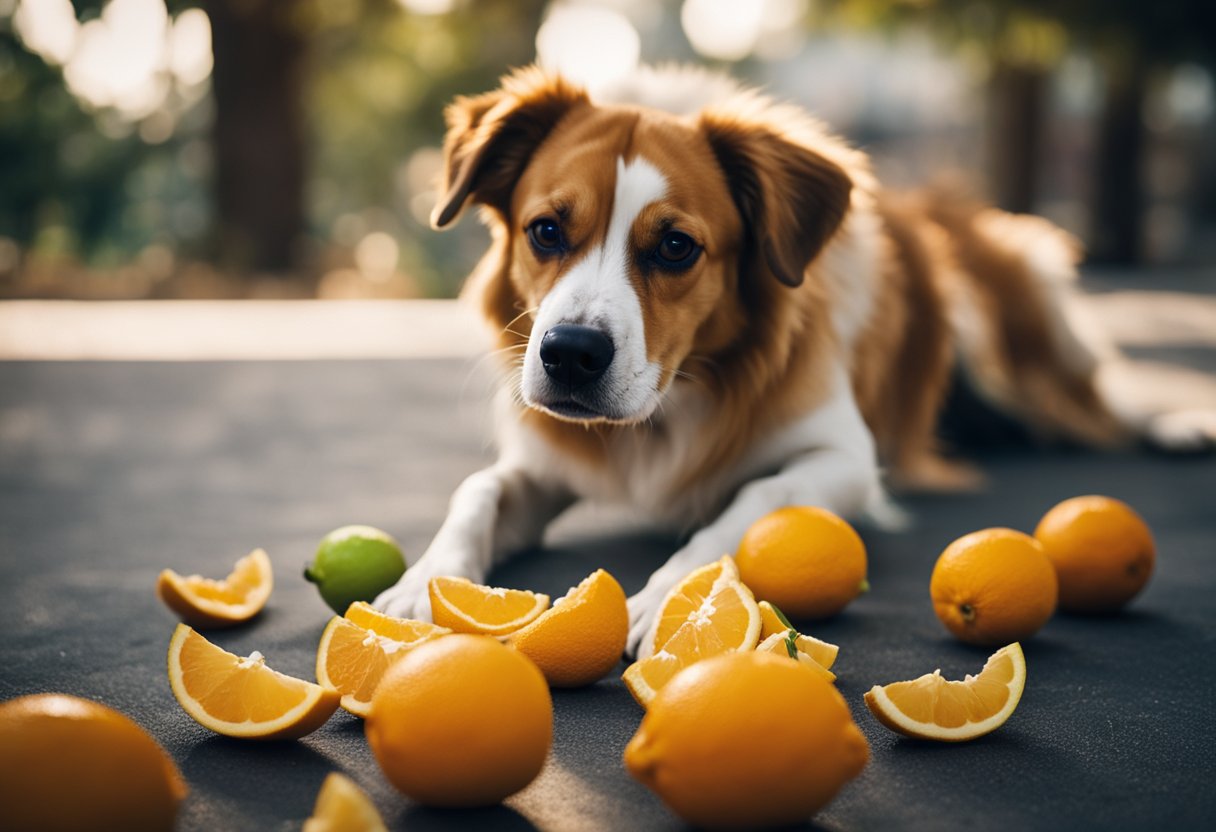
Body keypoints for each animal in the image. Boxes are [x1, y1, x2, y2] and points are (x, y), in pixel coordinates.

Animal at [374, 66, 1211, 656]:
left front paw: (677, 597)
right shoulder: (540, 459)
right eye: (546, 230)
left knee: (1097, 401)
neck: (667, 411)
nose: (571, 355)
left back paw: (1175, 425)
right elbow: (476, 491)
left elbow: (750, 504)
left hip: (1013, 325)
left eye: (674, 246)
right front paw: (420, 590)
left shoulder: (843, 459)